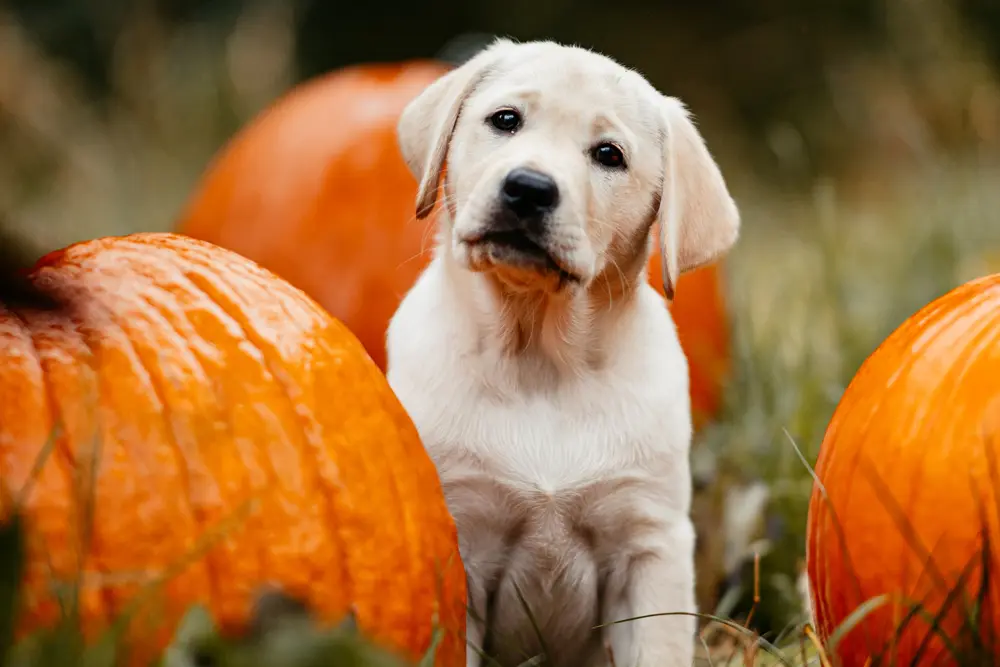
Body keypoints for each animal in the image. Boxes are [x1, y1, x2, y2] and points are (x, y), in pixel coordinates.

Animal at [386, 37, 740, 667]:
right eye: (506, 120)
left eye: (609, 155)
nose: (528, 188)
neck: (540, 363)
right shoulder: (459, 536)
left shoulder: (651, 547)